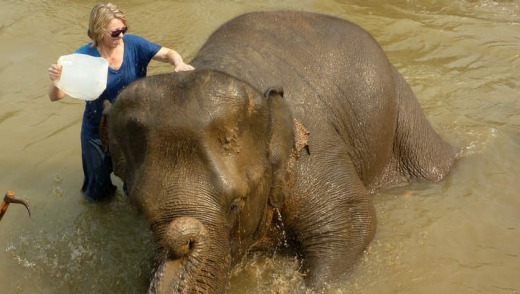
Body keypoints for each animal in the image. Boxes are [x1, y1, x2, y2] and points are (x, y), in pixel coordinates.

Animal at [105, 10, 456, 292]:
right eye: (141, 210)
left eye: (234, 204)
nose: (181, 237)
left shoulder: (312, 154)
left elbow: (351, 221)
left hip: (402, 111)